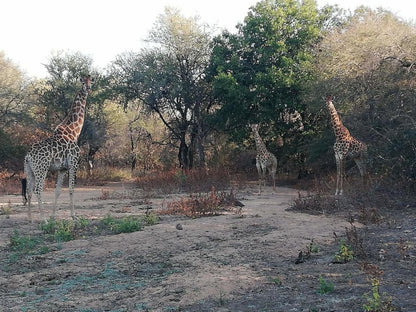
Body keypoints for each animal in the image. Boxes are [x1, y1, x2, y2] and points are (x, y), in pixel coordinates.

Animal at [23, 75, 94, 222]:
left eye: (91, 80)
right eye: (83, 82)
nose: (88, 88)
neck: (74, 132)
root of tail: (28, 156)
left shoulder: (62, 169)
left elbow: (58, 191)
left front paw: (53, 216)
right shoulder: (73, 164)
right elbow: (71, 189)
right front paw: (74, 216)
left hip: (29, 170)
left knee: (29, 190)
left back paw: (30, 218)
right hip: (41, 169)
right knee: (38, 189)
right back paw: (42, 219)